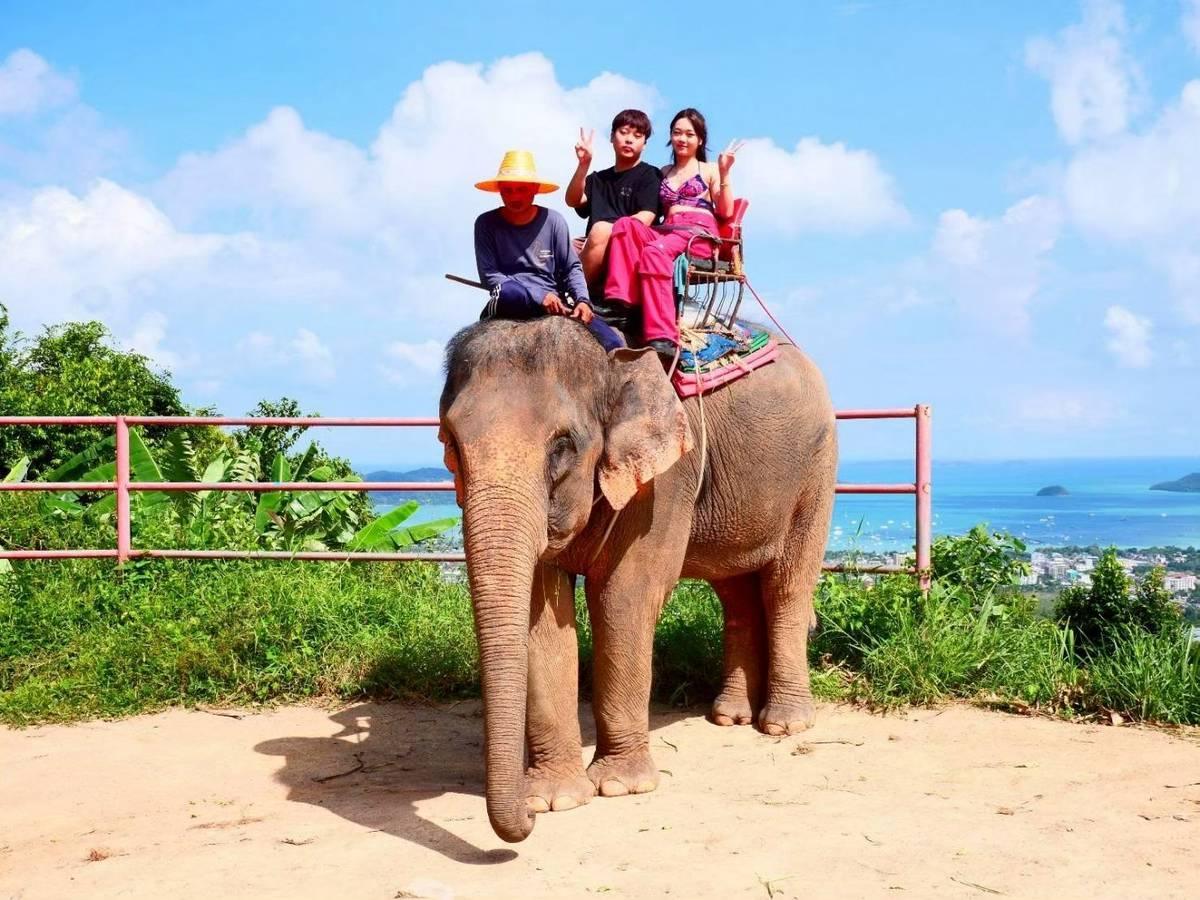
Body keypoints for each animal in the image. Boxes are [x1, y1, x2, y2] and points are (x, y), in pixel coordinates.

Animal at [437, 314, 837, 843]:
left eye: (562, 446)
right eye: (452, 443)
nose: (525, 821)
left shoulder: (665, 479)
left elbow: (624, 595)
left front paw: (619, 788)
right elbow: (541, 611)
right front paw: (554, 799)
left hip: (816, 469)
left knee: (786, 585)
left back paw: (783, 726)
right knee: (735, 591)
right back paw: (729, 717)